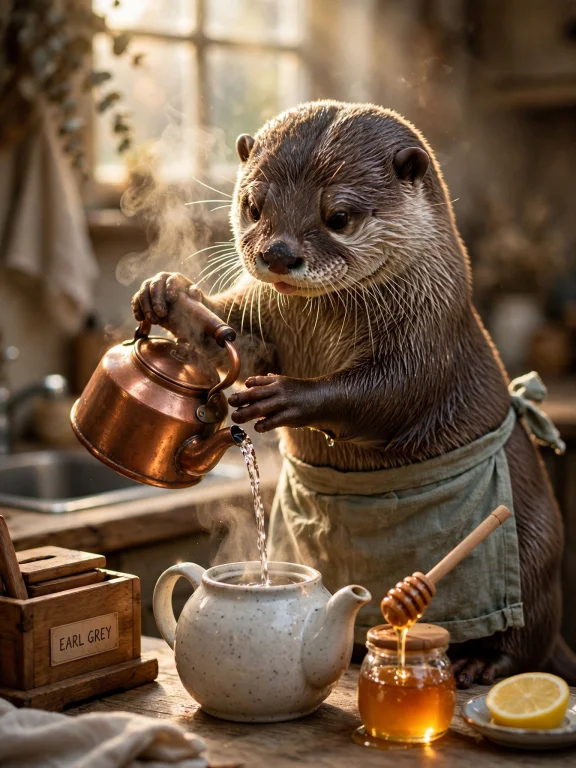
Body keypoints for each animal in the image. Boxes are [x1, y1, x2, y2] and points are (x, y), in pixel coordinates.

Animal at [132, 100, 575, 688]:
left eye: (338, 217)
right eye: (253, 206)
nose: (278, 253)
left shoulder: (429, 334)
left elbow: (390, 393)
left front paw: (288, 396)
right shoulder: (262, 311)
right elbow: (231, 333)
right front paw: (165, 293)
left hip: (537, 553)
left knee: (528, 639)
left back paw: (478, 662)